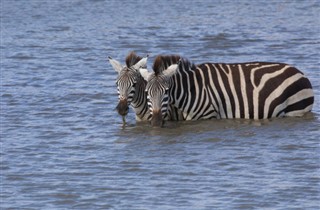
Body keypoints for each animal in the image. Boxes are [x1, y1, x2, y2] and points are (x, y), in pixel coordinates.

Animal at [141, 55, 316, 127]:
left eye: (166, 91)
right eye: (147, 93)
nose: (155, 123)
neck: (191, 89)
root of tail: (301, 73)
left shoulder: (208, 116)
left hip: (295, 111)